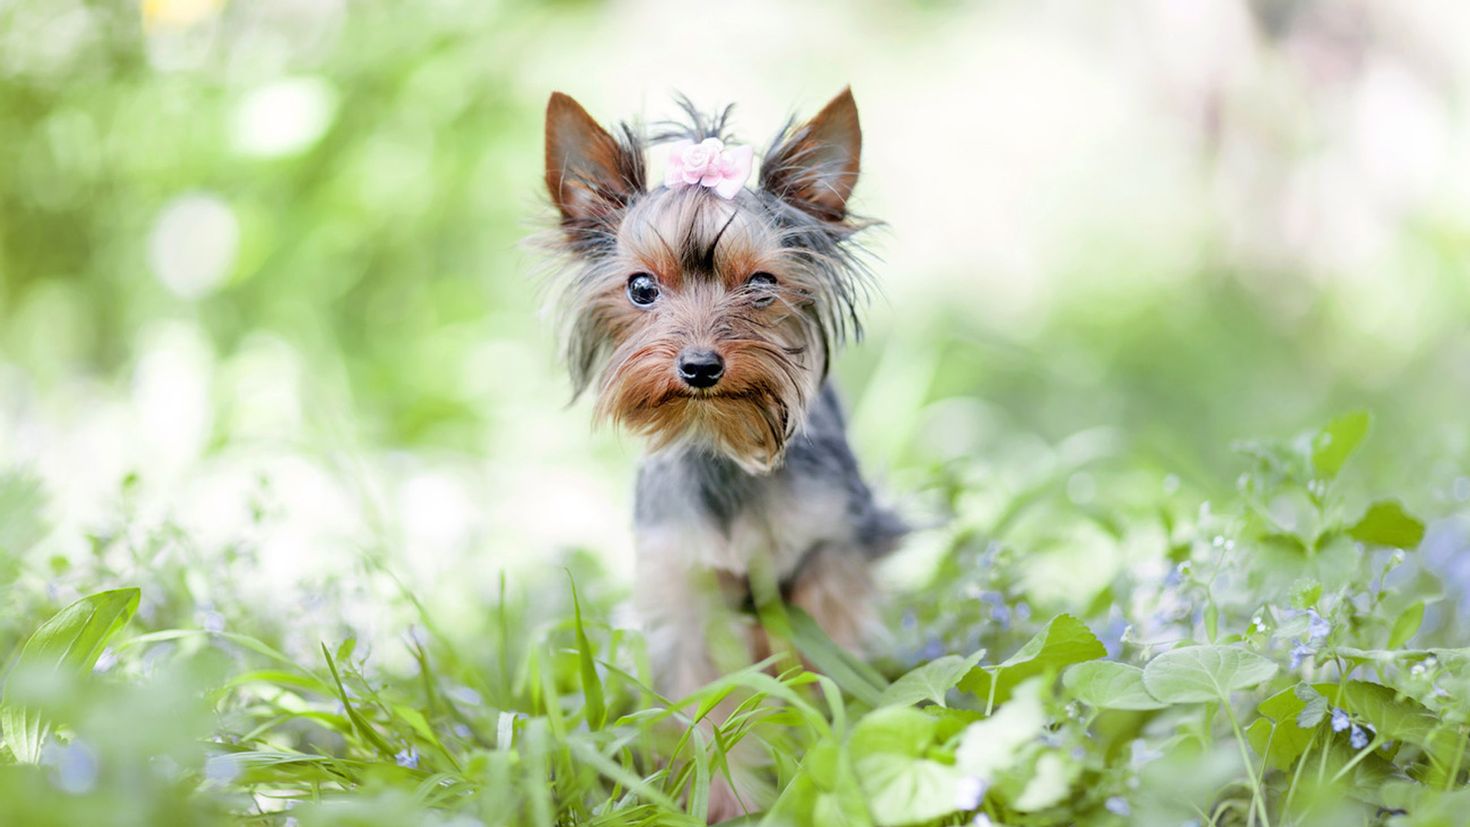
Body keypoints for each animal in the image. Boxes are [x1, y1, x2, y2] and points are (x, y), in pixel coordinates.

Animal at [543, 87, 905, 816]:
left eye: (761, 284)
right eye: (641, 288)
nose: (700, 366)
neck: (723, 442)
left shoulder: (826, 559)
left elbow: (815, 669)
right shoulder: (685, 589)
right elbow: (705, 707)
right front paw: (717, 802)